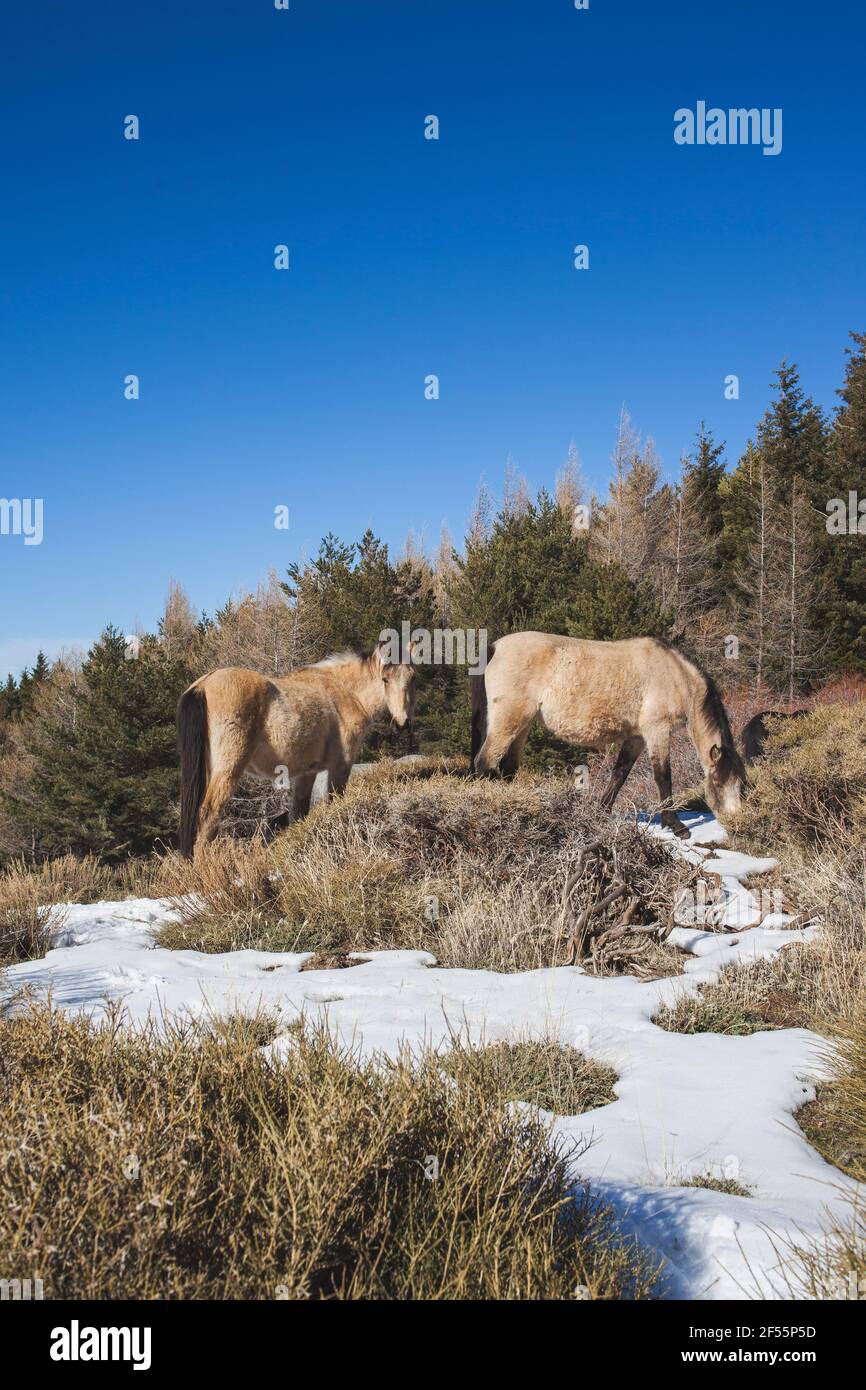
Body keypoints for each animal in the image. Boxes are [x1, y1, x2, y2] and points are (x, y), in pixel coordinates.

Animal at [176, 642, 417, 856]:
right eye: (385, 679)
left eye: (413, 677)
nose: (402, 724)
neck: (343, 692)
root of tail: (203, 685)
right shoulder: (340, 766)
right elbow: (335, 802)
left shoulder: (306, 774)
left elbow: (299, 814)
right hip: (228, 770)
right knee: (209, 813)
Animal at [469, 631, 750, 834]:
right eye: (717, 782)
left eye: (740, 783)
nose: (735, 823)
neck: (675, 674)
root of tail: (495, 647)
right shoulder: (656, 730)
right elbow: (663, 777)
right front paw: (676, 825)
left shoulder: (636, 737)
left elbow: (619, 774)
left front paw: (601, 813)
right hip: (508, 720)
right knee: (485, 762)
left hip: (522, 724)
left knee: (508, 767)